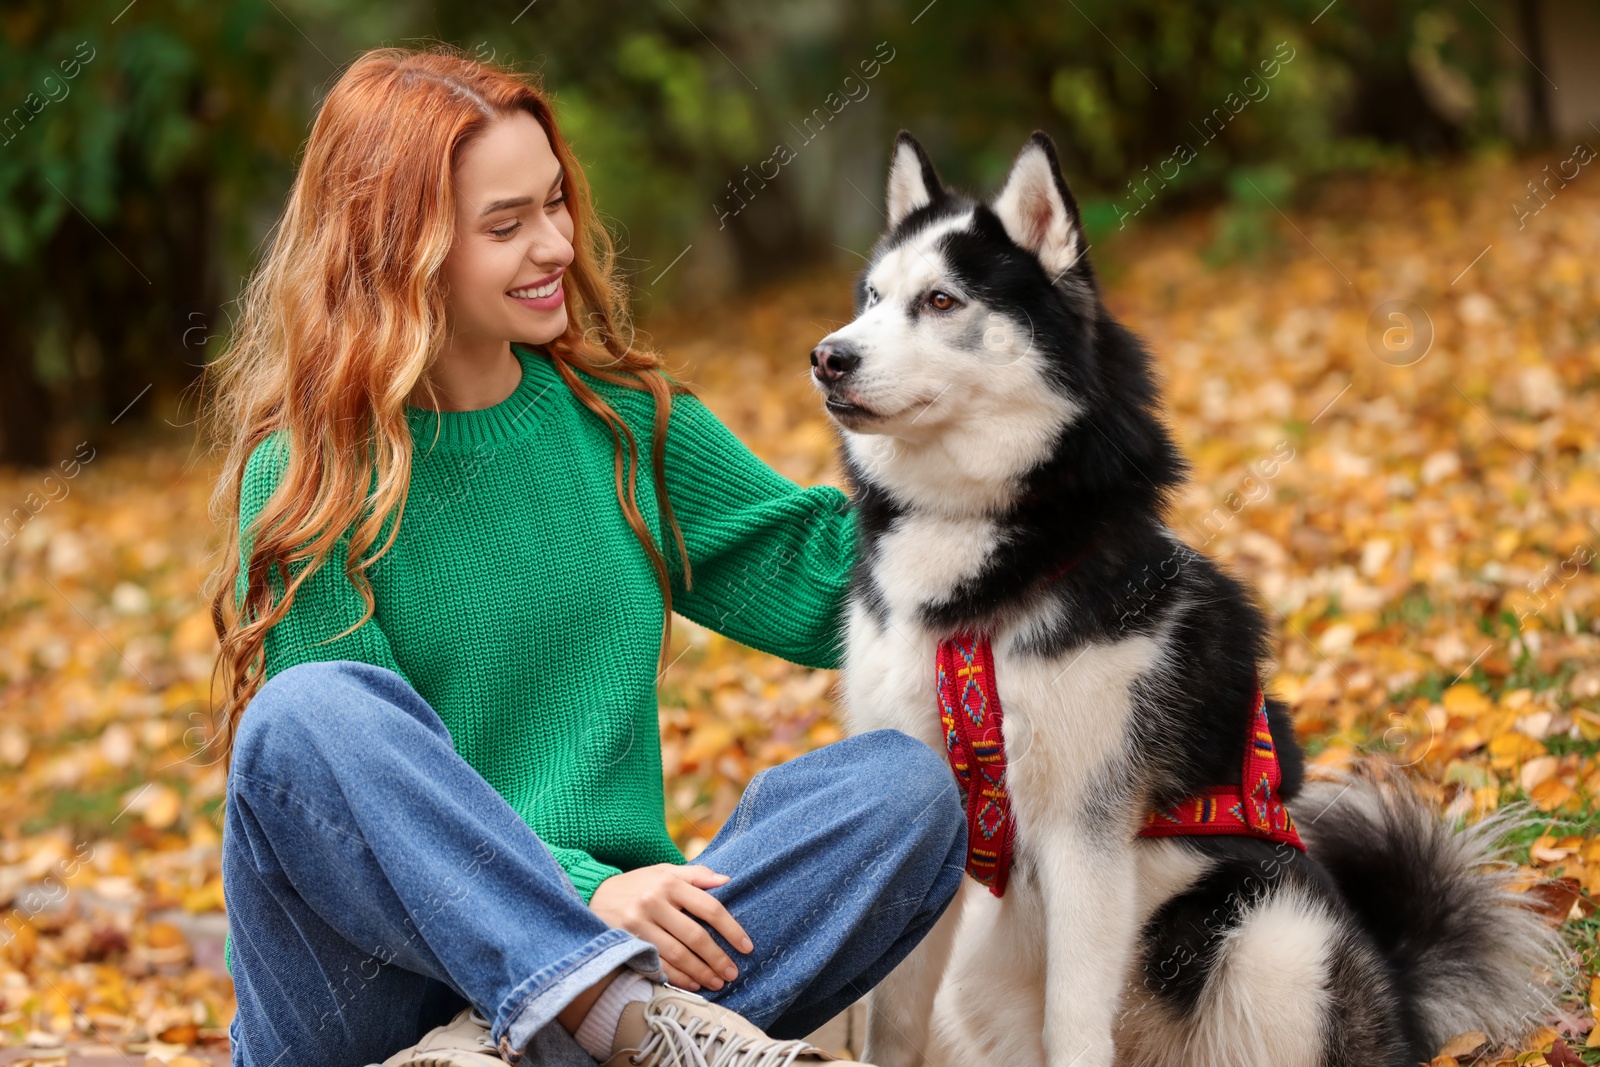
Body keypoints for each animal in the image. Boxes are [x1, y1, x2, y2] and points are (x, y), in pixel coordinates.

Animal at [806, 131, 1568, 1067]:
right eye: (873, 298)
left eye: (941, 300)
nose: (828, 355)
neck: (979, 550)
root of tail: (1404, 996)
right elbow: (892, 1018)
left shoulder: (1083, 830)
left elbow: (1073, 1020)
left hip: (1276, 931)